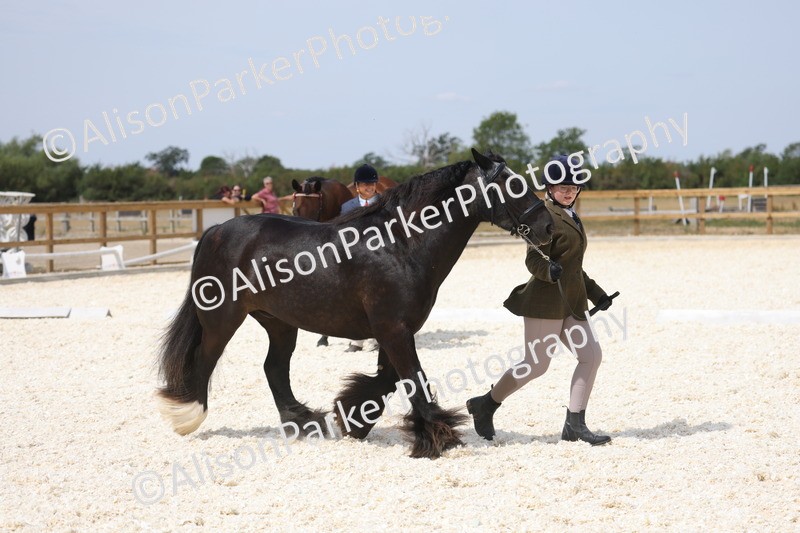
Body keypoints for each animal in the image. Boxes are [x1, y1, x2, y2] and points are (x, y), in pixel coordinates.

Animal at [156, 149, 554, 458]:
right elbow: (413, 379)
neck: (401, 244)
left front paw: (354, 419)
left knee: (274, 368)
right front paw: (439, 436)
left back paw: (304, 421)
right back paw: (187, 417)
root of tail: (215, 232)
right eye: (513, 185)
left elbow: (389, 379)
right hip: (222, 319)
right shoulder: (393, 329)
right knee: (205, 359)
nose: (548, 226)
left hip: (279, 322)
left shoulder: (396, 329)